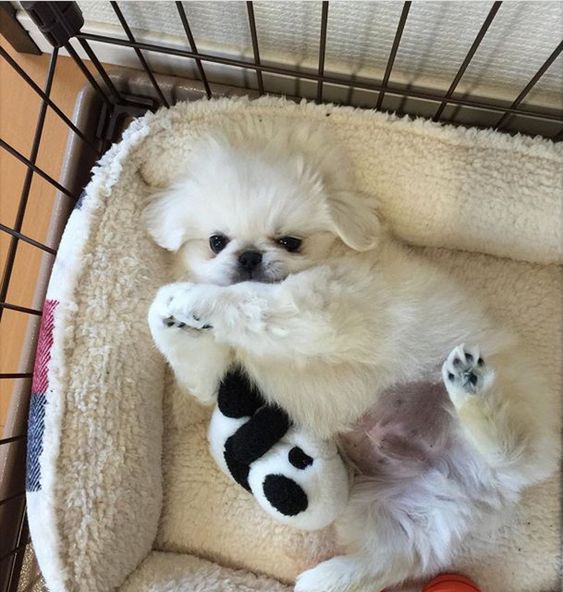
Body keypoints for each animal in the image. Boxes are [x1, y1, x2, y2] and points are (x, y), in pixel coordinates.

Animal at [145, 120, 560, 592]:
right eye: (217, 242)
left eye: (290, 242)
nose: (250, 256)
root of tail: (484, 488)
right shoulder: (218, 376)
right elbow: (190, 354)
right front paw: (168, 312)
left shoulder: (321, 310)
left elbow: (252, 300)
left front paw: (192, 298)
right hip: (399, 508)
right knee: (395, 557)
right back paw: (323, 579)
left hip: (510, 423)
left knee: (512, 446)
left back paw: (471, 385)